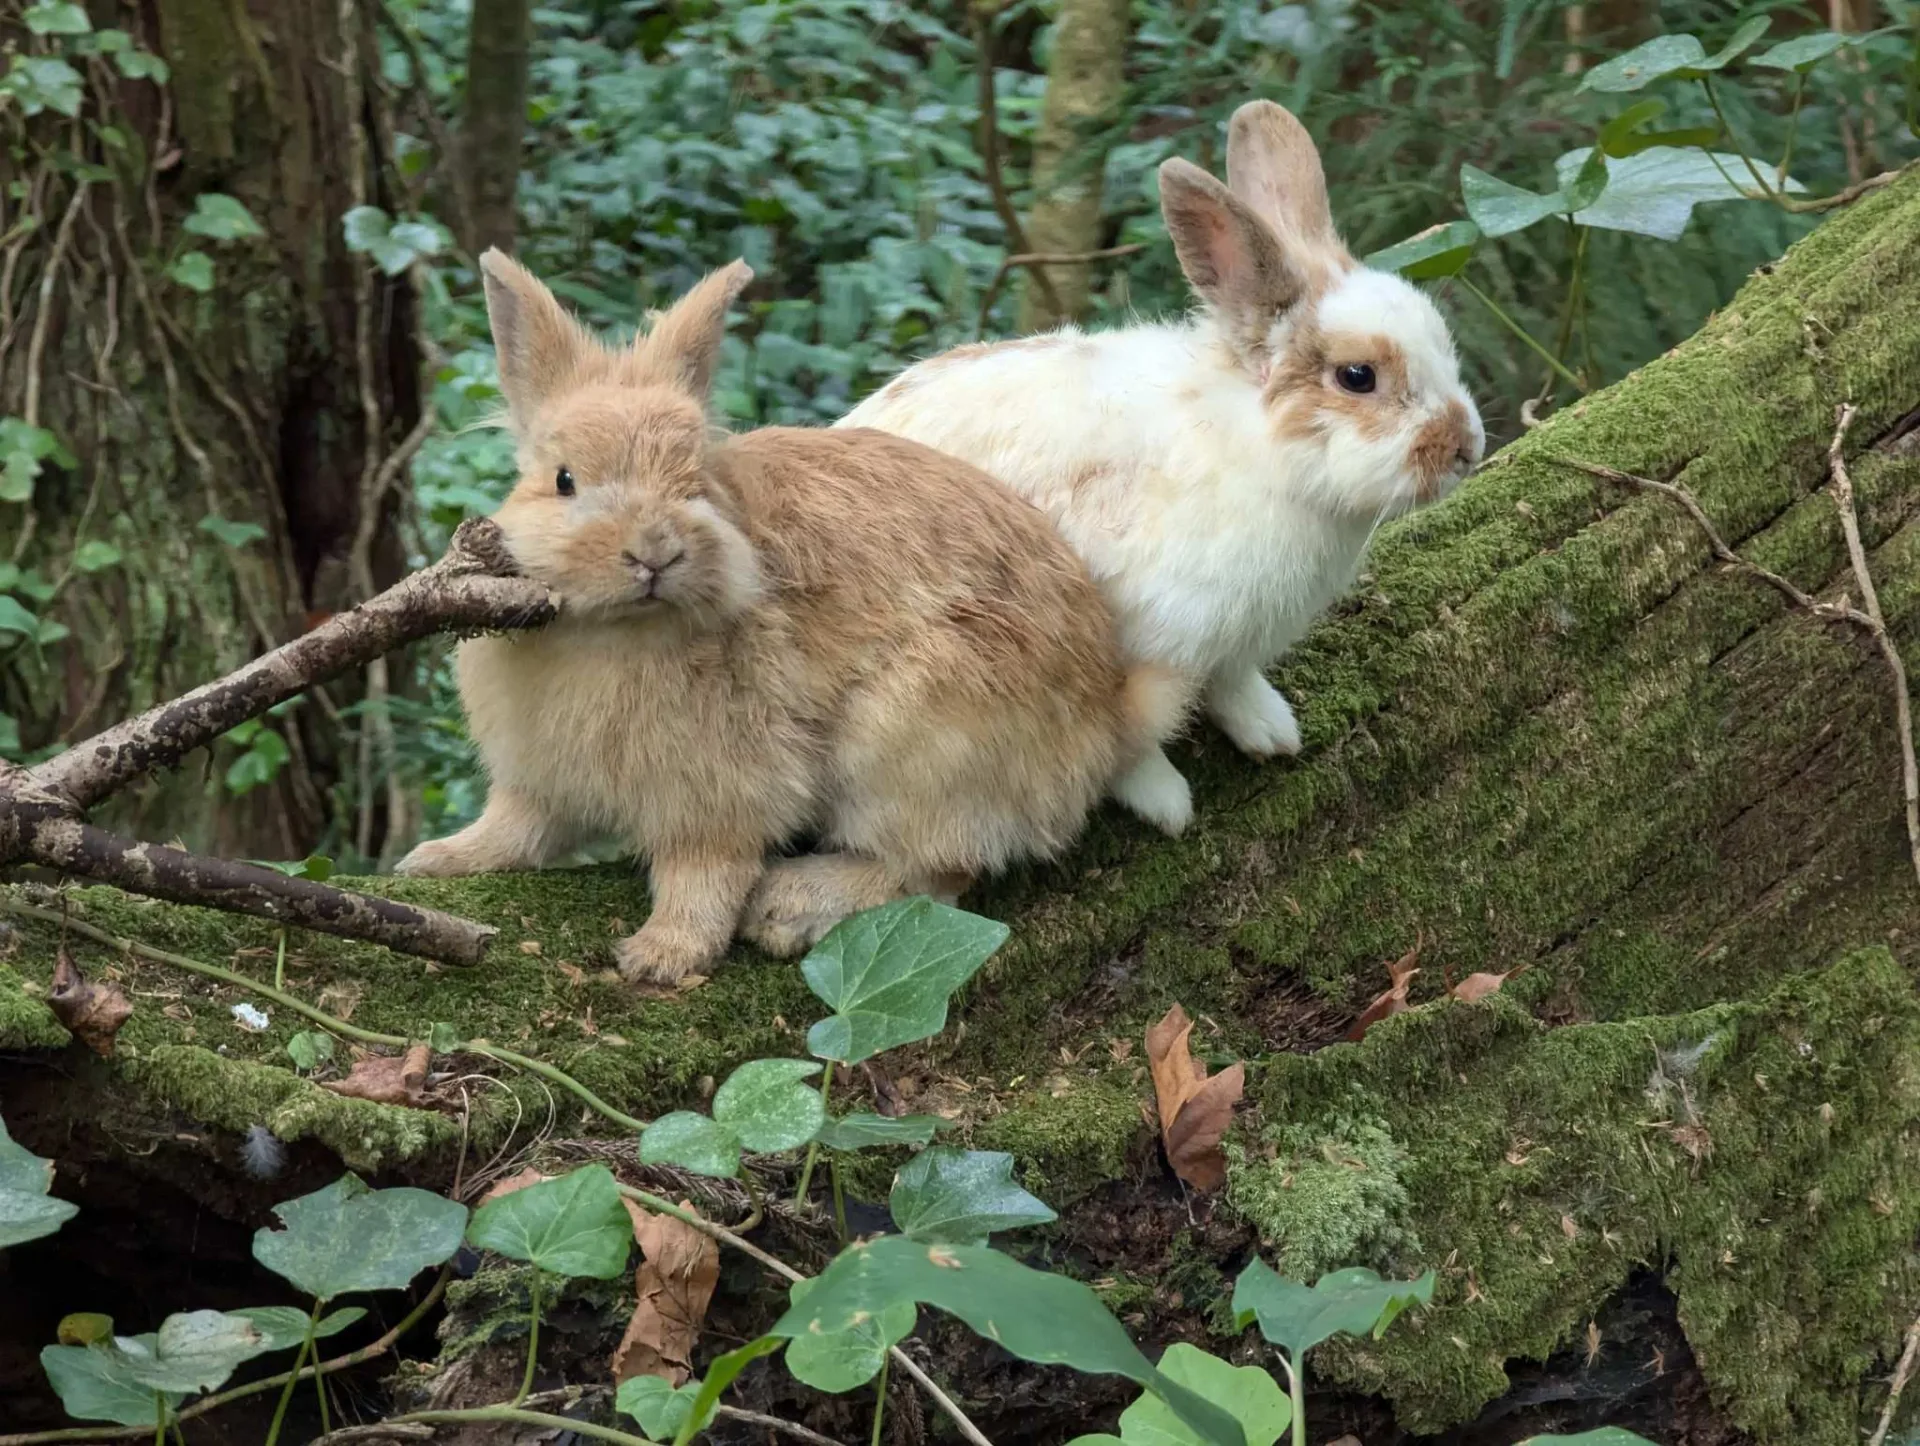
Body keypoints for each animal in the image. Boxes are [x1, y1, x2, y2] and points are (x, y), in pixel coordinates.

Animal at [395, 250, 1181, 984]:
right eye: (563, 481)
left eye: (695, 480)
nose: (655, 551)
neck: (616, 629)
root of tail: (1102, 726)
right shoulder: (537, 778)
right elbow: (516, 830)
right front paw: (434, 861)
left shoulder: (720, 790)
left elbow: (704, 874)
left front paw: (662, 957)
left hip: (912, 739)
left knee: (937, 876)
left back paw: (791, 906)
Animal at [838, 99, 1485, 837]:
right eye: (1358, 377)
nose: (1466, 448)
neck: (1253, 451)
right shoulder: (1140, 654)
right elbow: (1127, 743)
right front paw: (1168, 806)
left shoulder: (1234, 644)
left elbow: (1233, 687)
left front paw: (1273, 734)